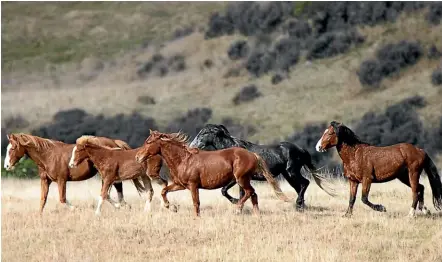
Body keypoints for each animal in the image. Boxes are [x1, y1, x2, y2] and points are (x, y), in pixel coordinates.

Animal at [2, 133, 144, 213]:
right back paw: (122, 205)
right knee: (111, 192)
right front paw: (39, 216)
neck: (48, 155)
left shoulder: (61, 180)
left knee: (114, 189)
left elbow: (62, 199)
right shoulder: (45, 180)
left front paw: (76, 209)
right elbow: (43, 200)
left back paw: (121, 206)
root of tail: (114, 142)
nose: (7, 166)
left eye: (13, 148)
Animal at [135, 129, 292, 217]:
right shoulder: (180, 185)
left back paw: (237, 209)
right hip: (244, 179)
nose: (137, 157)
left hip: (241, 179)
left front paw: (196, 218)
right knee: (253, 195)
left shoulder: (193, 185)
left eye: (148, 142)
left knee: (249, 192)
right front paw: (172, 208)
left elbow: (196, 203)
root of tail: (252, 154)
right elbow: (164, 191)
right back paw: (256, 216)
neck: (184, 160)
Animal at [188, 124, 334, 210]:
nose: (191, 146)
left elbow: (224, 191)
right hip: (288, 175)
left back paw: (299, 205)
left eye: (203, 133)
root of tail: (301, 149)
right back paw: (300, 207)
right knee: (299, 187)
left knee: (305, 183)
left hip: (292, 172)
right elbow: (236, 192)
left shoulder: (237, 178)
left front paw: (236, 203)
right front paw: (239, 206)